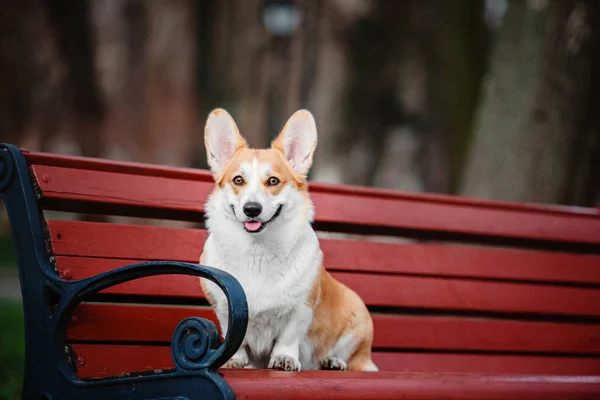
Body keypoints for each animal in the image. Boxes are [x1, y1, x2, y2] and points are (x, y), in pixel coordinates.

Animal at [202, 108, 378, 372]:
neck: (257, 251)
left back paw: (332, 361)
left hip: (357, 321)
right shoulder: (224, 307)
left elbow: (288, 337)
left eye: (273, 181)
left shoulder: (300, 309)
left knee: (351, 358)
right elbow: (235, 338)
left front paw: (284, 359)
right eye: (238, 180)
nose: (251, 209)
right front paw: (235, 360)